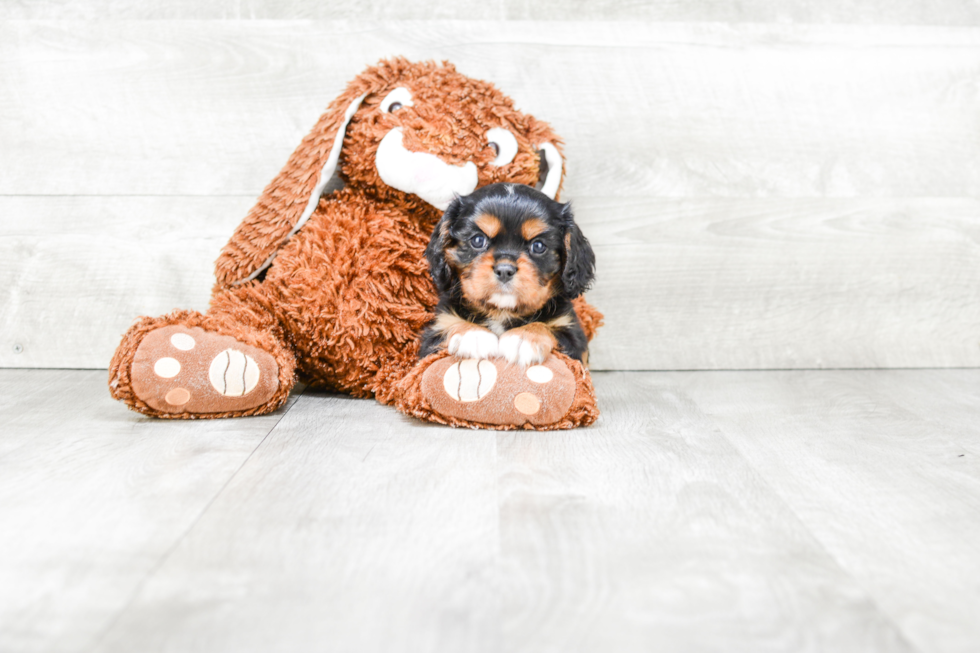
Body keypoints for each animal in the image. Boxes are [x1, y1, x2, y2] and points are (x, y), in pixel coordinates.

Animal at [418, 182, 592, 366]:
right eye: (478, 240)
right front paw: (472, 334)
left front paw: (525, 337)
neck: (502, 312)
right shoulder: (434, 332)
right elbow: (448, 325)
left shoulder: (575, 341)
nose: (504, 270)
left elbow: (553, 330)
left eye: (538, 246)